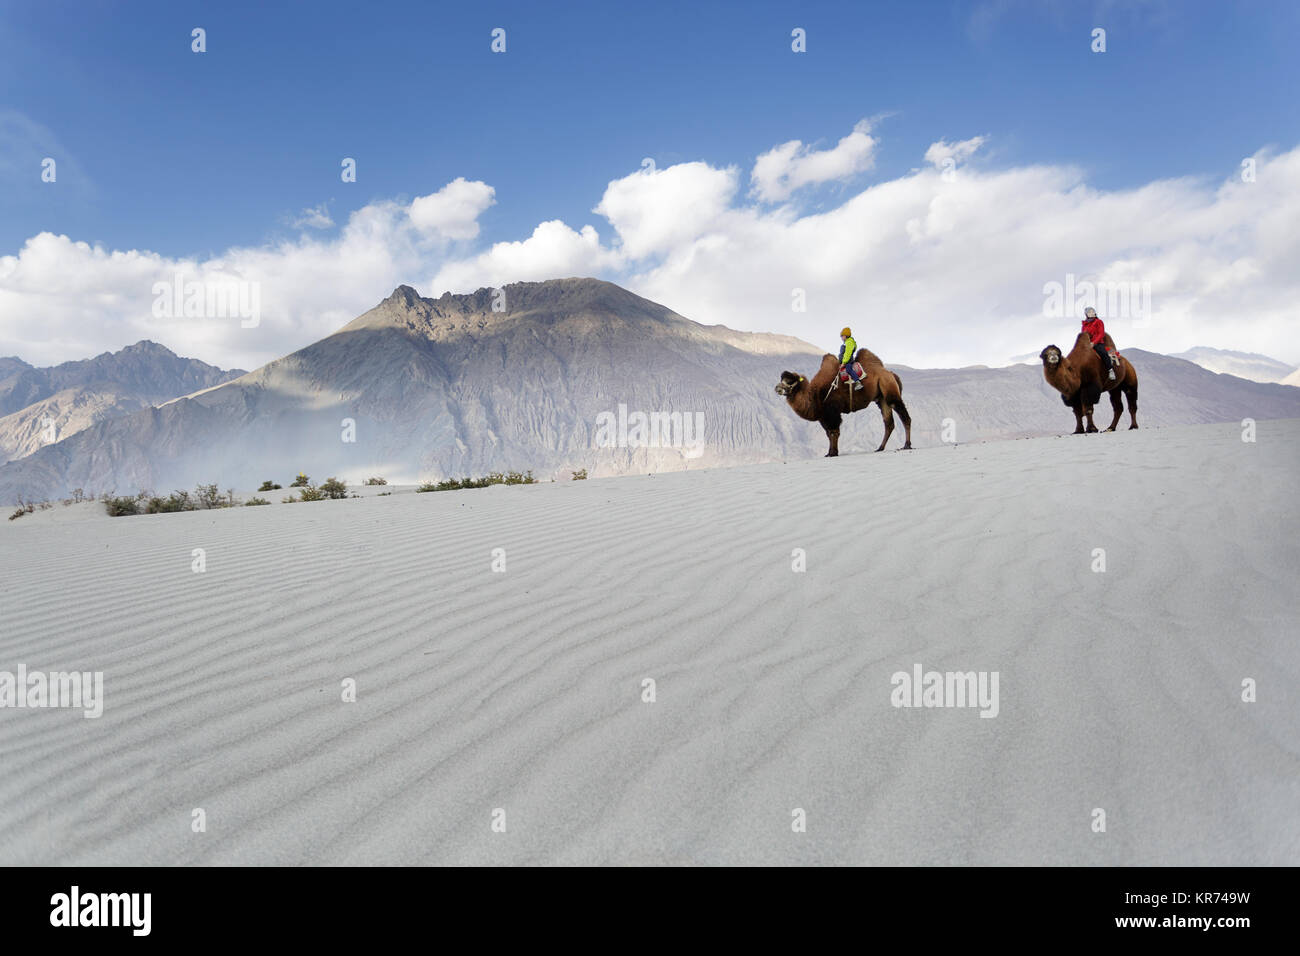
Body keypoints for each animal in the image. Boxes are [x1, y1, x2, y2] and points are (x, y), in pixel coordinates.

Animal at [769, 348, 915, 457]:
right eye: (782, 379)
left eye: (789, 381)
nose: (777, 388)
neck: (815, 395)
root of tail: (891, 374)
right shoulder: (824, 416)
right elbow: (828, 434)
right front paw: (829, 453)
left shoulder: (833, 412)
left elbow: (834, 432)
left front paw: (833, 453)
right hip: (881, 398)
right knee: (888, 423)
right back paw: (880, 447)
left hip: (890, 391)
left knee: (904, 417)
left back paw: (907, 445)